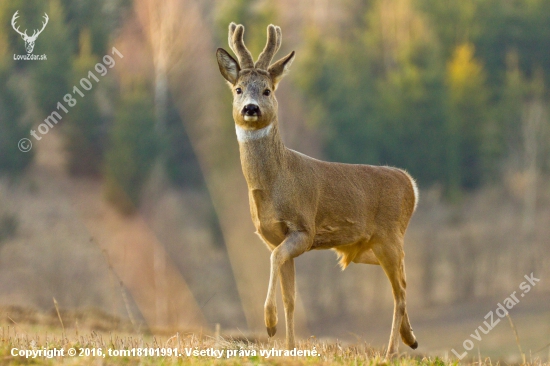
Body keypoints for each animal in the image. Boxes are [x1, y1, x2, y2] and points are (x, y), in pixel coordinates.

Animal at [218, 22, 420, 358]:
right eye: (238, 89)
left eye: (267, 90)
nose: (250, 108)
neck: (274, 185)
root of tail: (411, 185)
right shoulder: (274, 238)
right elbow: (290, 296)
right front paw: (288, 347)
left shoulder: (303, 229)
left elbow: (276, 264)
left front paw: (270, 324)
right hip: (367, 245)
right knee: (404, 275)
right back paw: (410, 338)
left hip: (390, 235)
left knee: (400, 290)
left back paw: (392, 351)